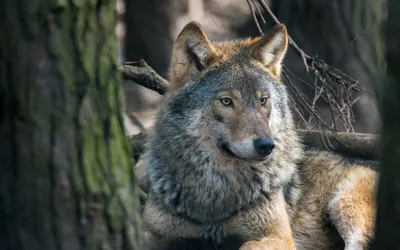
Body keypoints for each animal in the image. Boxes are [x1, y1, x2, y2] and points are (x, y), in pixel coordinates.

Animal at [140, 21, 378, 250]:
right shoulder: (151, 235)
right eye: (226, 101)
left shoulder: (279, 237)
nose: (266, 145)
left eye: (263, 100)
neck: (217, 192)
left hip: (344, 206)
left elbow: (248, 245)